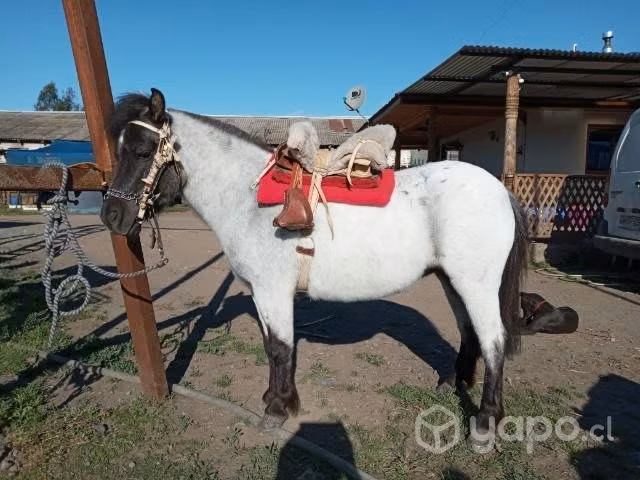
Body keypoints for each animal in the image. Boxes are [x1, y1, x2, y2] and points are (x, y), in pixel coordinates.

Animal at [100, 88, 528, 451]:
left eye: (142, 151)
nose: (112, 216)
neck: (247, 199)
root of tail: (500, 189)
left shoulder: (272, 291)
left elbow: (279, 348)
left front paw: (275, 410)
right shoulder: (262, 293)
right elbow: (274, 347)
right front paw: (278, 400)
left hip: (476, 285)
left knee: (493, 341)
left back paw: (485, 425)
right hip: (452, 281)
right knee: (470, 332)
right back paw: (454, 383)